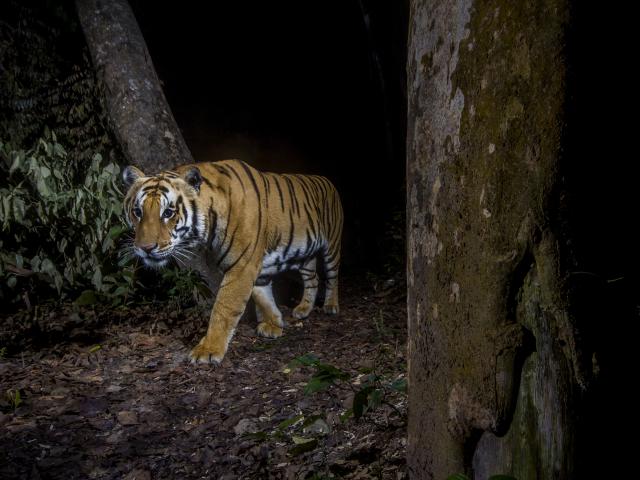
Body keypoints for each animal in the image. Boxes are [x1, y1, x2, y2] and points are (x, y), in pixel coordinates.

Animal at [122, 160, 343, 364]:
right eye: (138, 212)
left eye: (168, 212)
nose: (145, 248)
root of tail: (327, 180)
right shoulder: (255, 267)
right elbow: (262, 295)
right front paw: (274, 323)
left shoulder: (242, 265)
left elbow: (224, 308)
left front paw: (208, 350)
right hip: (304, 255)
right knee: (313, 279)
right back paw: (303, 309)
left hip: (332, 245)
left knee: (332, 276)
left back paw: (331, 306)